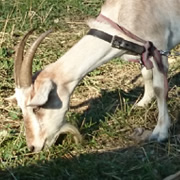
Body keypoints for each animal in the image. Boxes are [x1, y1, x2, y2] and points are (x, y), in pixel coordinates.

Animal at [7, 0, 180, 152]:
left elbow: (160, 88)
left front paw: (160, 132)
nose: (32, 147)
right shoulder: (144, 51)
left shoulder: (159, 45)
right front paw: (143, 102)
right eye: (21, 107)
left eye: (37, 108)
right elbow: (145, 73)